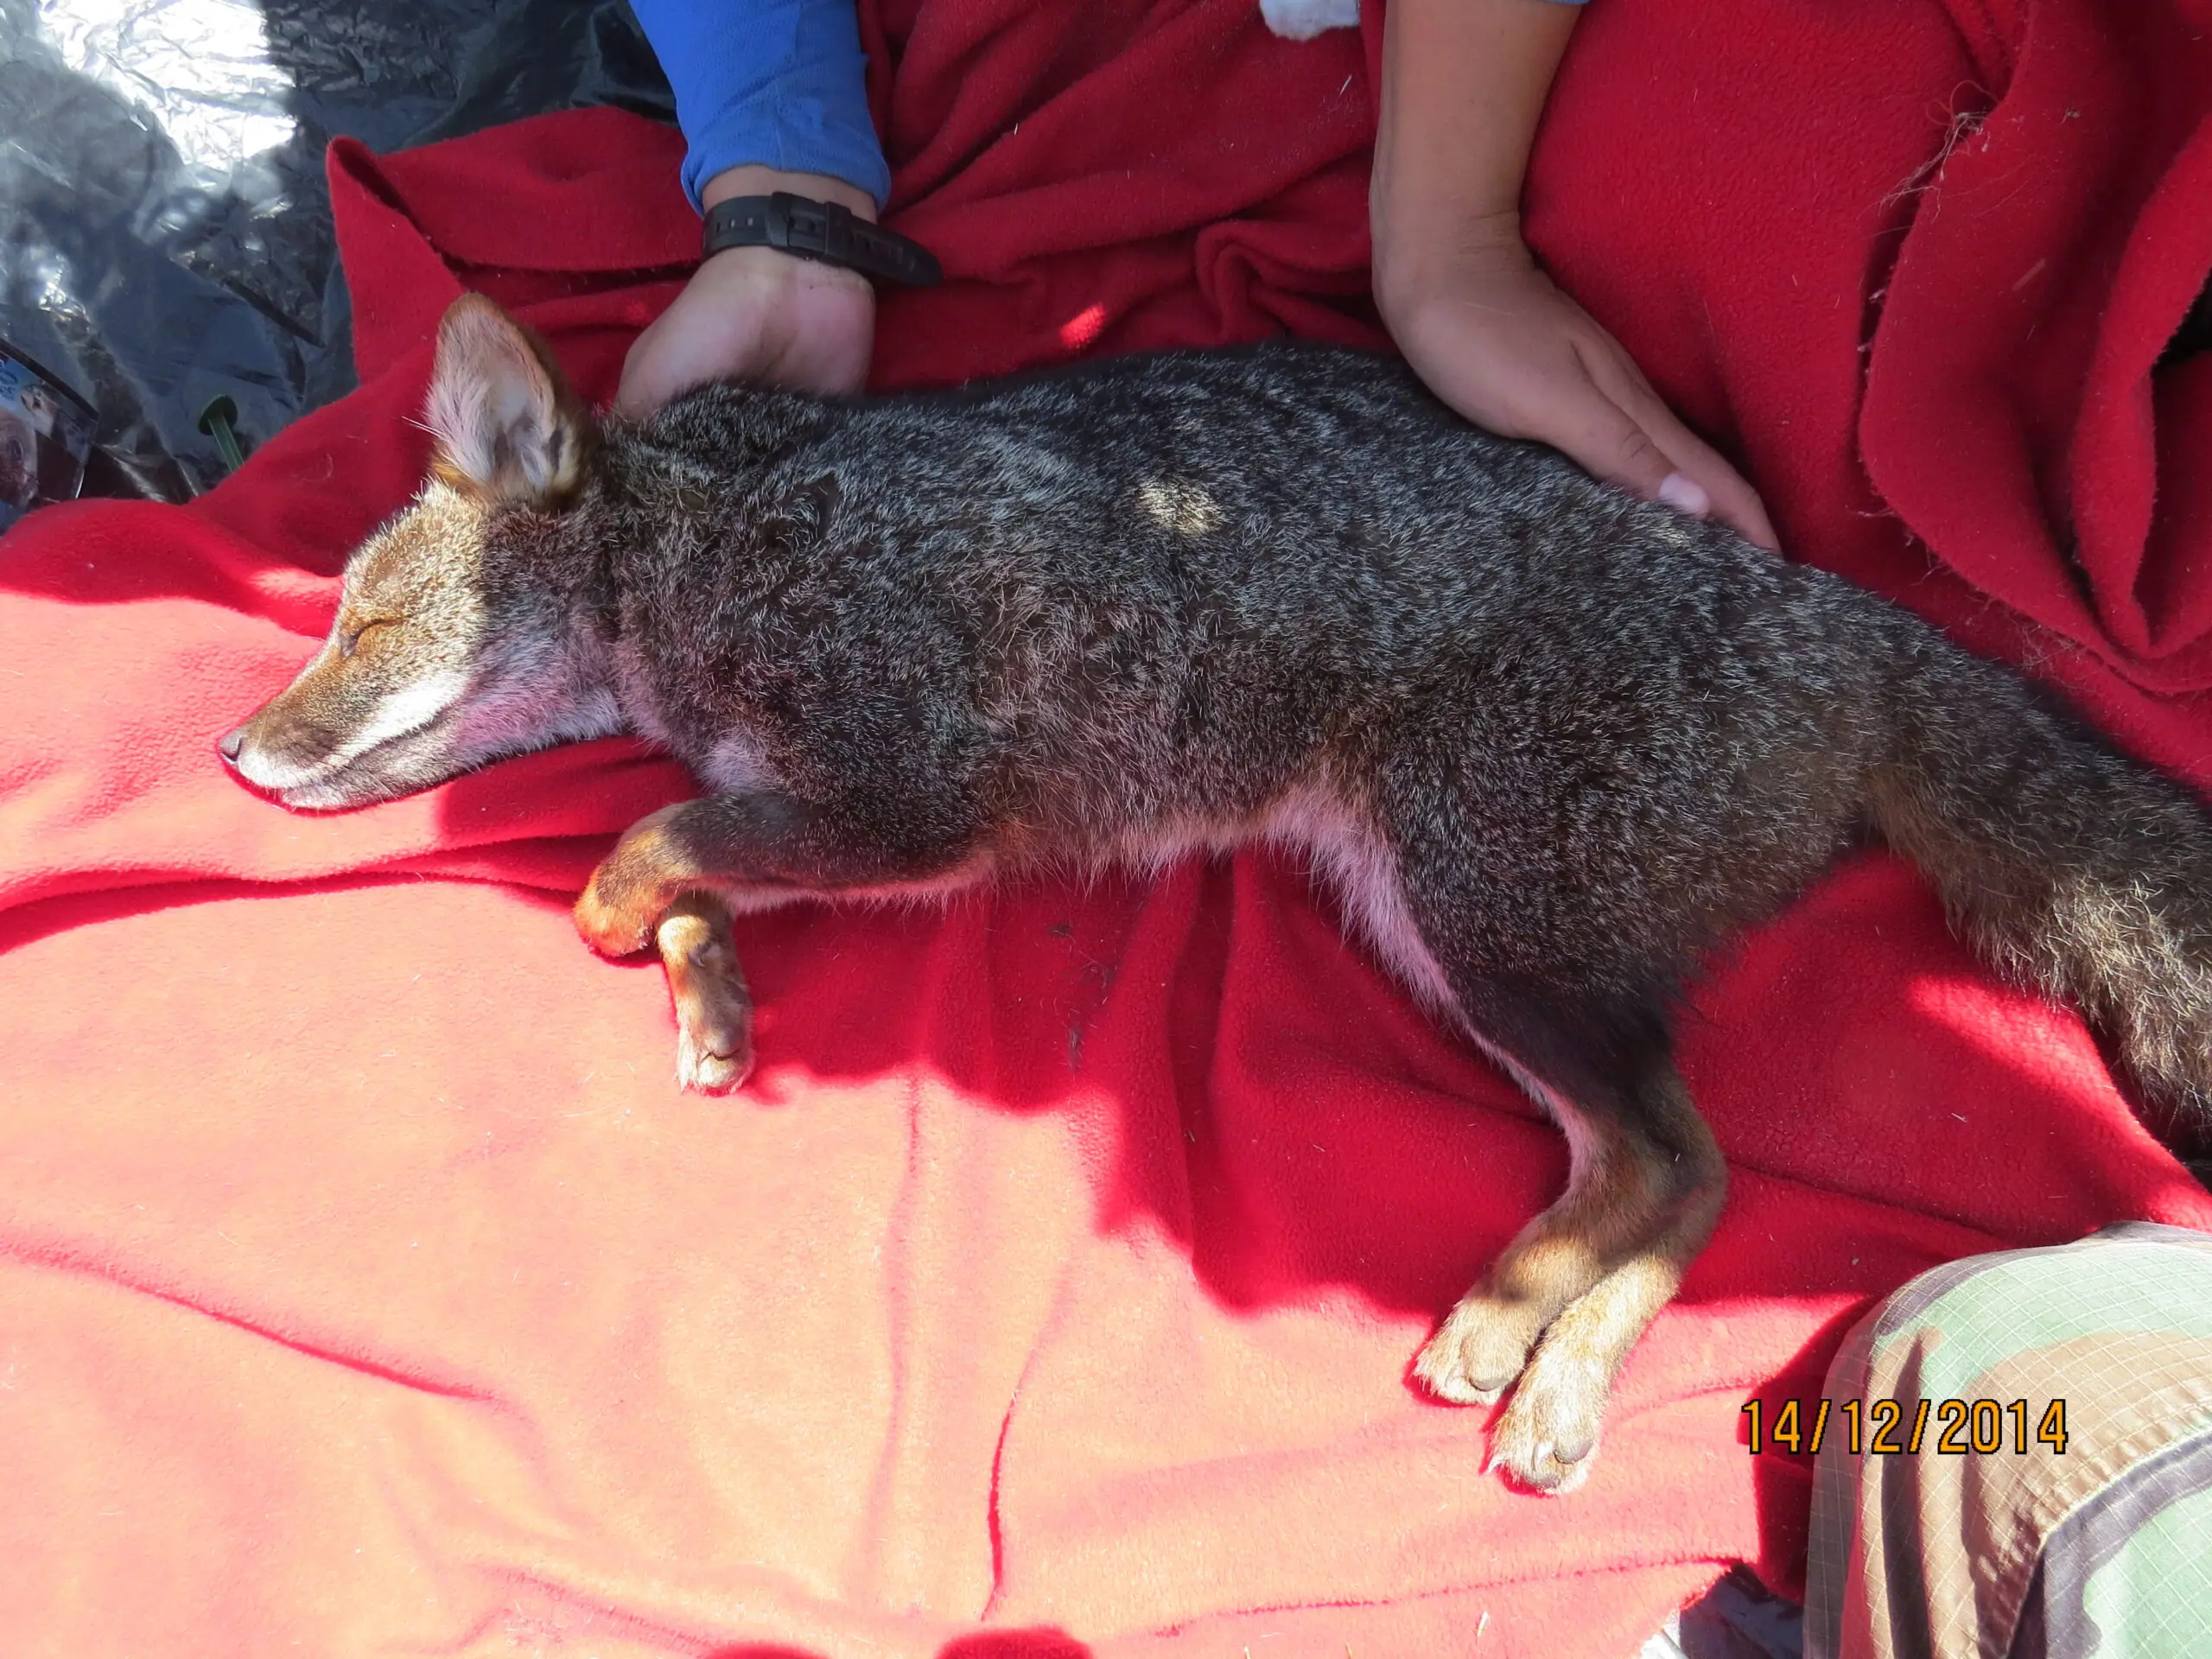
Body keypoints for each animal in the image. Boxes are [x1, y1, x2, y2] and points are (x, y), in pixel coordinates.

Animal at [223, 293, 2212, 1492]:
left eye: (361, 626)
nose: (236, 746)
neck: (702, 544)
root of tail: (1842, 616)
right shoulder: (823, 799)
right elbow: (707, 852)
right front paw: (710, 994)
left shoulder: (914, 802)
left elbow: (656, 840)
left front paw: (630, 917)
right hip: (1445, 935)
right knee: (1653, 1161)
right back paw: (1521, 1328)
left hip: (1481, 916)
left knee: (1698, 1163)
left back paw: (1541, 1358)